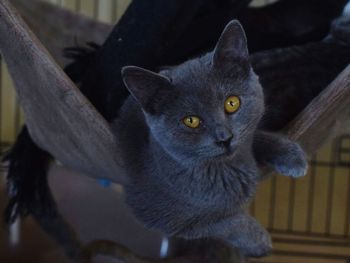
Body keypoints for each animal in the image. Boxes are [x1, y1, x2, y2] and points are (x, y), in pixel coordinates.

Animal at [115, 20, 306, 258]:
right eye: (191, 121)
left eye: (232, 103)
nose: (224, 138)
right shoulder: (164, 218)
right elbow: (225, 222)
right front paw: (258, 242)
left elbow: (252, 136)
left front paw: (291, 155)